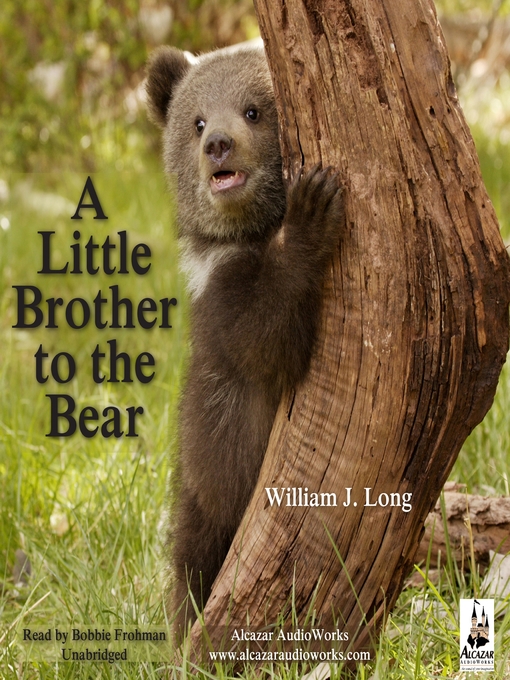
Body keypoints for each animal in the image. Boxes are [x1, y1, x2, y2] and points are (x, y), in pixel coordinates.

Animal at [146, 43, 345, 635]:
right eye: (196, 120)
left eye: (253, 110)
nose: (218, 144)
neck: (251, 234)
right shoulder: (220, 300)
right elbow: (266, 338)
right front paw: (312, 211)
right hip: (207, 492)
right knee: (192, 568)